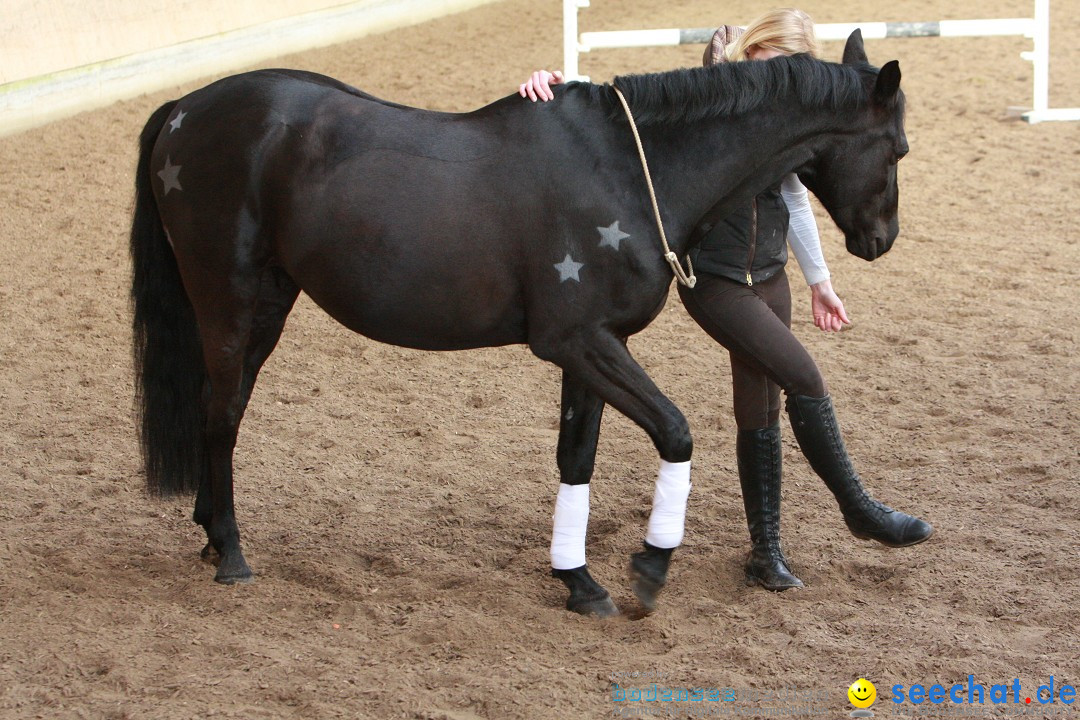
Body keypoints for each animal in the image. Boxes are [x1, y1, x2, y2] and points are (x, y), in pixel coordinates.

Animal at [132, 33, 911, 617]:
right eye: (898, 148)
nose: (881, 240)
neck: (626, 167)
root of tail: (185, 109)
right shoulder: (575, 340)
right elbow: (676, 432)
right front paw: (649, 567)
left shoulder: (595, 346)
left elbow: (576, 459)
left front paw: (579, 581)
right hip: (227, 300)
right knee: (221, 413)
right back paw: (232, 554)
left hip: (267, 304)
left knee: (221, 409)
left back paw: (212, 534)